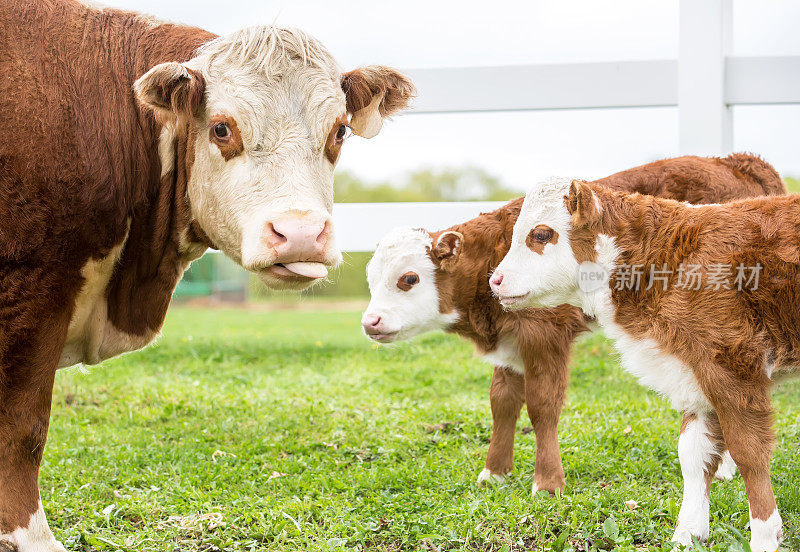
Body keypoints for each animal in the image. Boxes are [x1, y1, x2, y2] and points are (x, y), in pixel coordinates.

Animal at [360, 153, 780, 494]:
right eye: (371, 279)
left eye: (409, 278)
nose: (370, 321)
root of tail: (735, 160)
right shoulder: (510, 344)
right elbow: (503, 402)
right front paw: (494, 472)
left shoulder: (544, 335)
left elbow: (542, 404)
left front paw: (547, 482)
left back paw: (724, 467)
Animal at [490, 175, 796, 548]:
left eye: (542, 234)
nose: (495, 280)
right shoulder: (693, 373)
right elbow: (693, 454)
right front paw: (687, 534)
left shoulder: (732, 370)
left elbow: (749, 452)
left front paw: (765, 535)